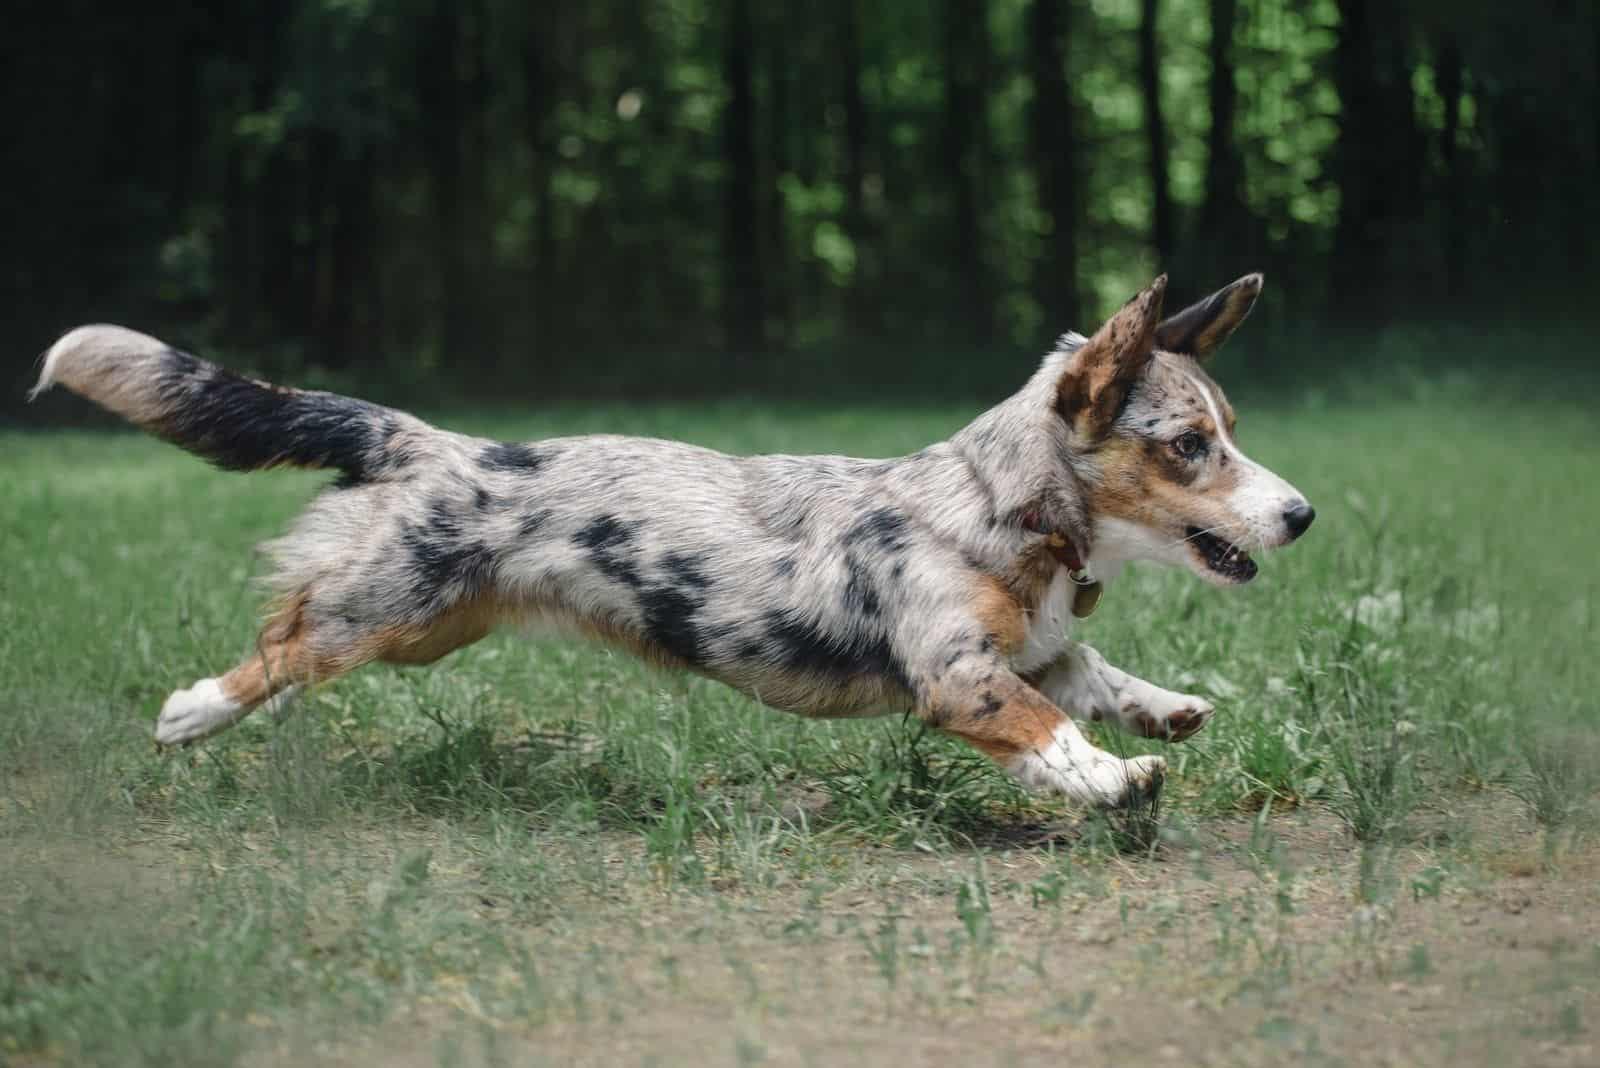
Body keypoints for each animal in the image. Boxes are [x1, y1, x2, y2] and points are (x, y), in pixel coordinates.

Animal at [31, 274, 1318, 808]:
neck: (1003, 507)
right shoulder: (960, 681)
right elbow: (1049, 729)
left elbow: (1090, 676)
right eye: (1189, 446)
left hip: (430, 634)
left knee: (299, 641)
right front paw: (1114, 780)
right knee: (285, 639)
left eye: (1231, 431)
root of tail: (435, 441)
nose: (1301, 514)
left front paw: (1165, 709)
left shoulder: (1038, 647)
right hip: (387, 610)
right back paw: (191, 711)